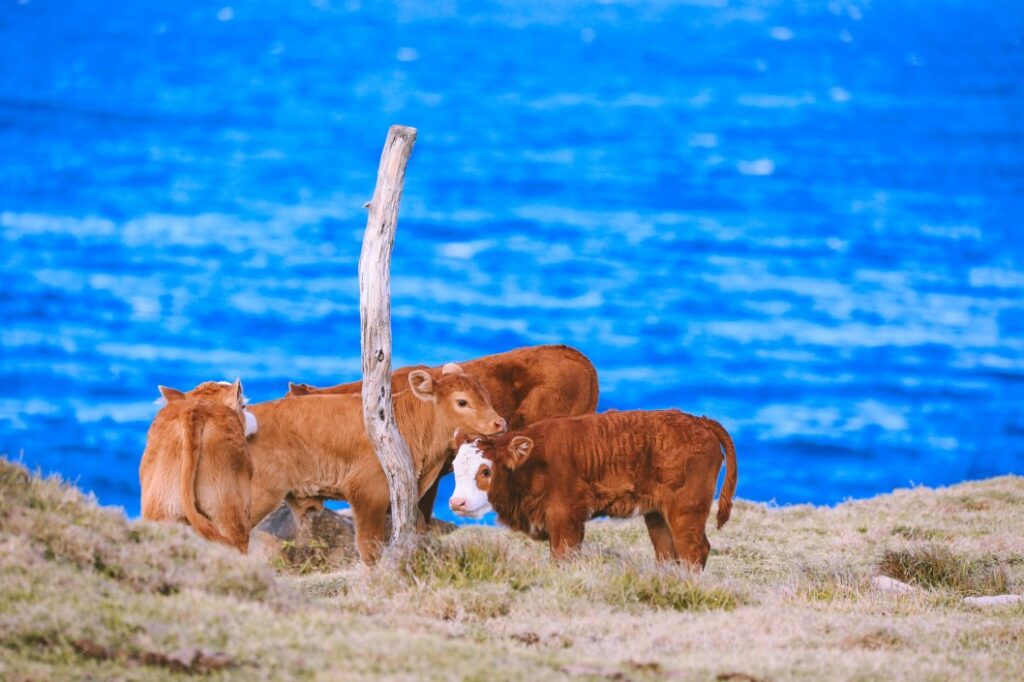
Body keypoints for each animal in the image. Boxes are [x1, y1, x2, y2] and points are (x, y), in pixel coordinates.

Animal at [245, 364, 505, 561]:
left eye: (486, 395)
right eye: (462, 402)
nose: (500, 423)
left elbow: (419, 527)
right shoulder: (367, 495)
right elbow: (369, 548)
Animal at [448, 409, 737, 569]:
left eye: (485, 471)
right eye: (454, 467)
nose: (456, 503)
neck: (533, 461)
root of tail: (699, 421)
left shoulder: (566, 518)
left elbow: (562, 557)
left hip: (686, 510)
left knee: (694, 549)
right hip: (658, 513)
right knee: (667, 550)